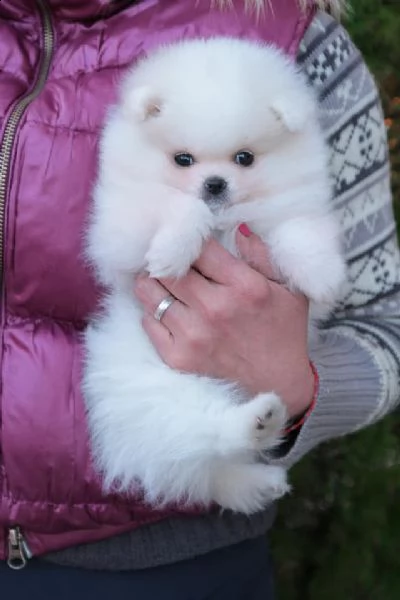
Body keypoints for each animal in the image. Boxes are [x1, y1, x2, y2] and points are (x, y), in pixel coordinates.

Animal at [83, 38, 344, 516]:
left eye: (245, 158)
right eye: (183, 159)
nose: (215, 183)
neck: (225, 223)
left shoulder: (291, 210)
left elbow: (298, 229)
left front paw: (321, 274)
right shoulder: (118, 235)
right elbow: (176, 206)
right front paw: (172, 250)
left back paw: (261, 461)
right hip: (166, 389)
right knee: (206, 437)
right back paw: (255, 423)